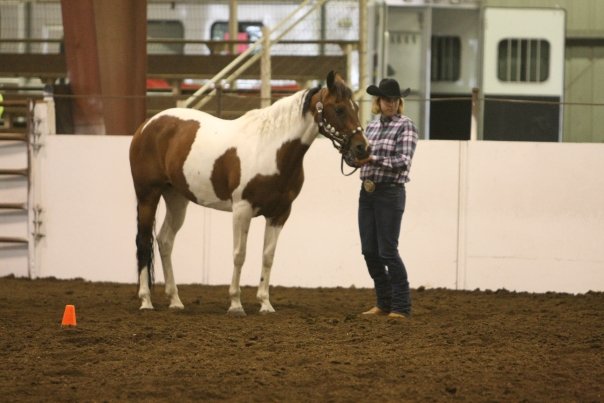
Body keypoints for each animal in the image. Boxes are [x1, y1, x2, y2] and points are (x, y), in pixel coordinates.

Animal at [130, 71, 368, 316]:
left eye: (356, 107)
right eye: (339, 109)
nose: (363, 148)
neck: (271, 151)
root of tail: (147, 125)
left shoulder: (279, 213)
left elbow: (268, 256)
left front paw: (265, 303)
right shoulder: (242, 209)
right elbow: (239, 254)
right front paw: (236, 304)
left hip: (176, 198)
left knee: (165, 240)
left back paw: (175, 300)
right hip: (148, 195)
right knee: (144, 241)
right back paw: (146, 300)